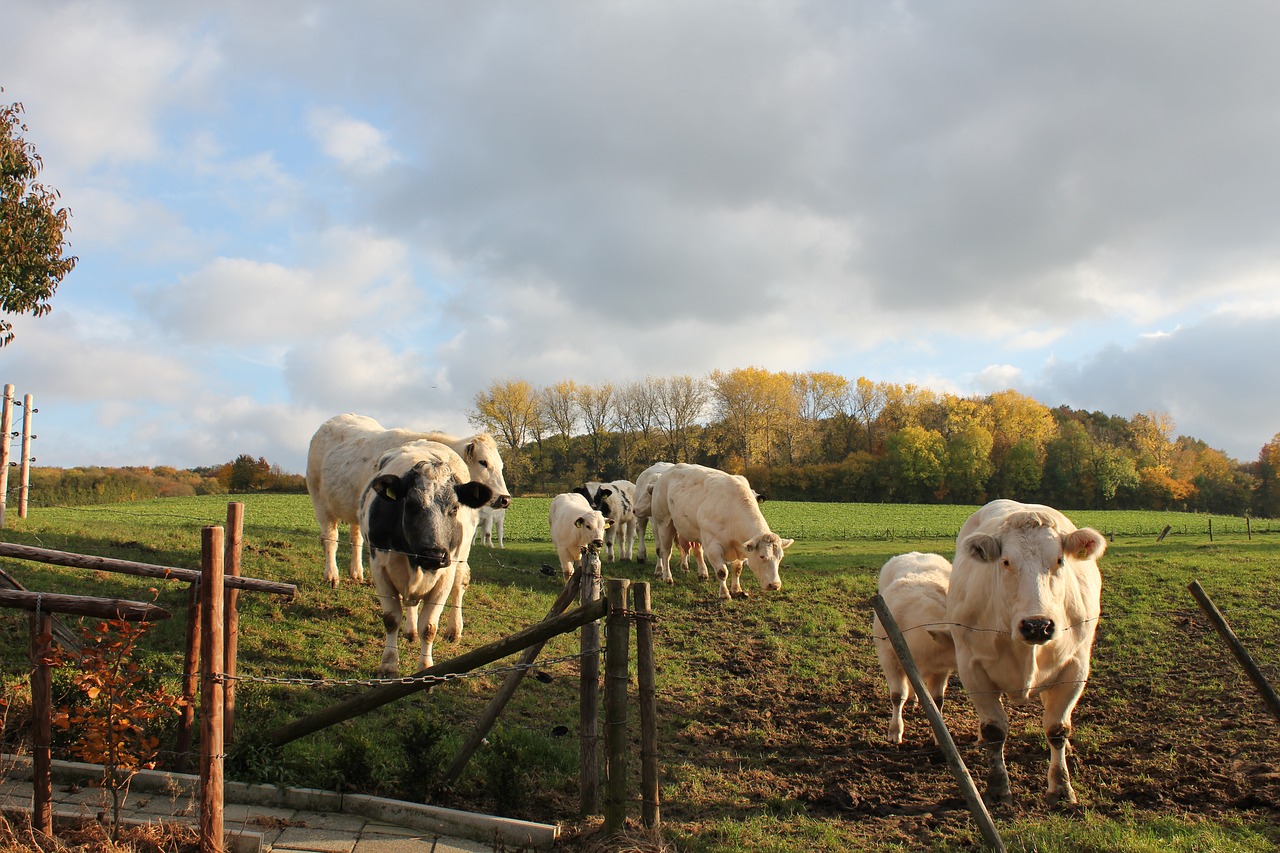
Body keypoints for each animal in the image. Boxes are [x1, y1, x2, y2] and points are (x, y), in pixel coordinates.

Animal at [304, 409, 509, 589]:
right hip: (320, 503)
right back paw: (332, 576)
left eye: (501, 465)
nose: (505, 498)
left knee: (356, 538)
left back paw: (356, 573)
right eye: (483, 462)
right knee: (331, 538)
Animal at [366, 440, 494, 676]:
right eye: (411, 505)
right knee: (411, 602)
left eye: (454, 508)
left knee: (459, 587)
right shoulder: (379, 567)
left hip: (460, 557)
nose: (434, 555)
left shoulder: (444, 576)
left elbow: (429, 627)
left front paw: (426, 668)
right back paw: (410, 631)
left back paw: (454, 630)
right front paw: (388, 665)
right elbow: (391, 619)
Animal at [650, 461, 788, 594]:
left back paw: (701, 574)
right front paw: (724, 594)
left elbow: (737, 569)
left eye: (780, 557)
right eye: (762, 556)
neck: (732, 513)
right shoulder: (713, 547)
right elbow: (722, 572)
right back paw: (667, 577)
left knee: (696, 551)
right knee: (665, 552)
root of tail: (668, 472)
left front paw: (737, 590)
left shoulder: (741, 548)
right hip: (663, 522)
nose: (775, 585)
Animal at [947, 499, 1105, 804]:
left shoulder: (1076, 667)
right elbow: (994, 730)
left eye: (1060, 560)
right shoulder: (972, 667)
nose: (1037, 625)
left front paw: (1061, 788)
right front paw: (998, 787)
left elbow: (1057, 729)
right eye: (1006, 561)